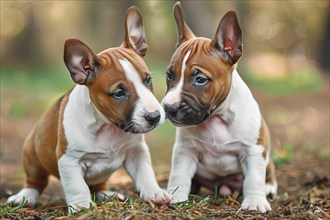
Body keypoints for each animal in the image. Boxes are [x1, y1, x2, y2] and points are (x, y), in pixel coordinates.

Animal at [7, 6, 170, 213]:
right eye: (119, 93)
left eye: (148, 80)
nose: (154, 116)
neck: (107, 126)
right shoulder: (69, 160)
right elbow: (77, 185)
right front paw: (81, 205)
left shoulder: (137, 152)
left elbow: (145, 173)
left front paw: (154, 192)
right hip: (33, 157)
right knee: (35, 181)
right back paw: (25, 196)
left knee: (97, 185)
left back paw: (106, 194)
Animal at [162, 1, 278, 211]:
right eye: (169, 75)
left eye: (200, 79)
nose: (169, 108)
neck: (216, 117)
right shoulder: (185, 150)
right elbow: (180, 175)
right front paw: (176, 196)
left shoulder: (254, 151)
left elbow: (254, 179)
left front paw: (254, 201)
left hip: (268, 160)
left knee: (268, 174)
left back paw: (268, 189)